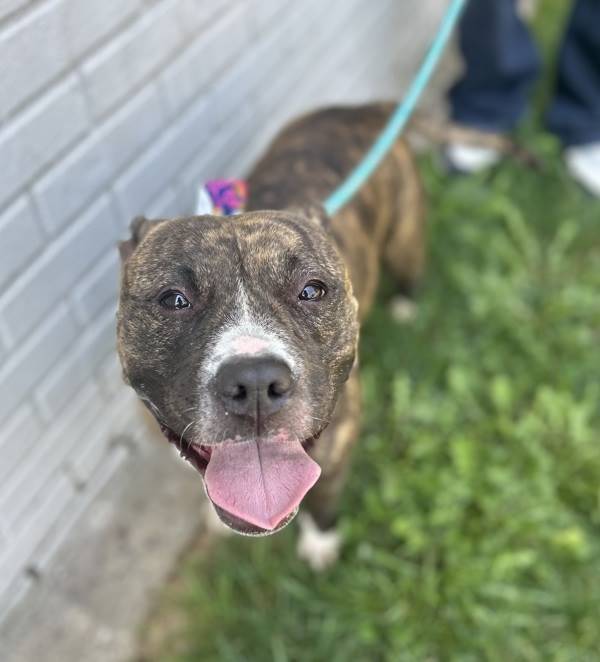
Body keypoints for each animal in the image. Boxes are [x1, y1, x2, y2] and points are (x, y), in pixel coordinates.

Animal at [117, 105, 424, 572]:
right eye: (174, 299)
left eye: (312, 290)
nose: (256, 382)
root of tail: (360, 109)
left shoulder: (339, 449)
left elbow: (324, 501)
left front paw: (320, 544)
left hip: (404, 238)